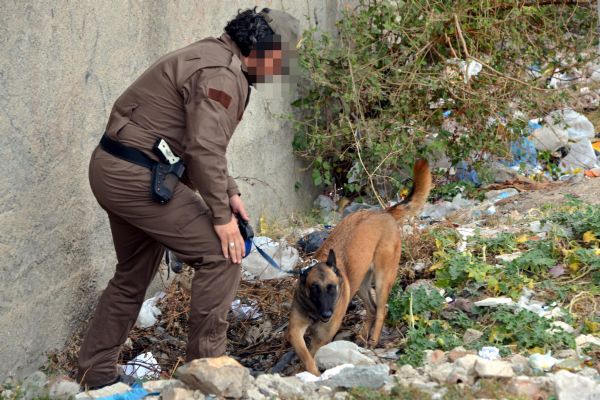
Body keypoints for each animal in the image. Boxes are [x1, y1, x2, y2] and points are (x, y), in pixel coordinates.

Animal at [288, 160, 432, 376]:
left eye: (332, 288)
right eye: (314, 289)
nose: (326, 315)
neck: (314, 309)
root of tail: (383, 213)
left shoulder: (322, 336)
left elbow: (312, 354)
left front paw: (311, 374)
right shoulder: (296, 330)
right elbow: (306, 355)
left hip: (381, 280)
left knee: (381, 310)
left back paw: (373, 339)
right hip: (360, 285)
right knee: (371, 309)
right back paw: (363, 338)